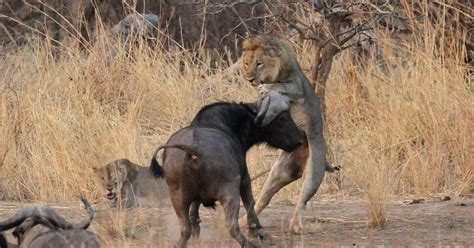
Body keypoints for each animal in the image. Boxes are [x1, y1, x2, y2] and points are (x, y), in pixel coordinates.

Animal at [243, 35, 338, 234]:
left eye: (259, 63)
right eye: (246, 63)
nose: (249, 79)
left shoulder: (297, 87)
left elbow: (282, 87)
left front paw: (267, 88)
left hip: (313, 174)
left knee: (303, 199)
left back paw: (295, 226)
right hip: (279, 173)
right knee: (264, 199)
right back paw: (244, 222)